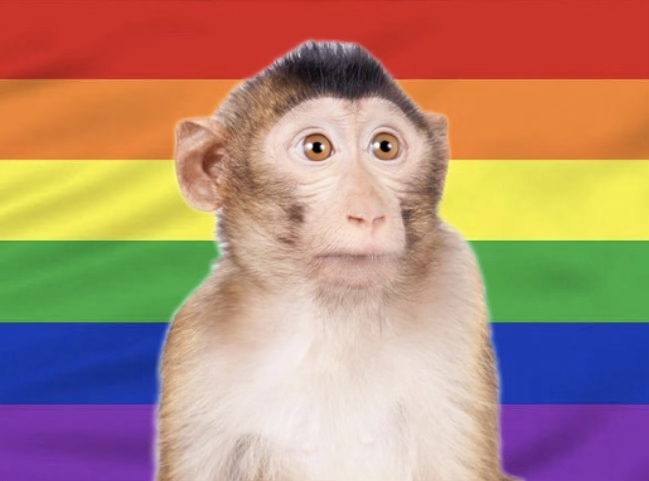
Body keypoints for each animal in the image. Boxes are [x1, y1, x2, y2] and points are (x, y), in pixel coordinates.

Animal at [155, 41, 521, 481]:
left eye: (385, 147)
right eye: (317, 148)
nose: (368, 212)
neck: (335, 315)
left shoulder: (456, 285)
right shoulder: (197, 341)